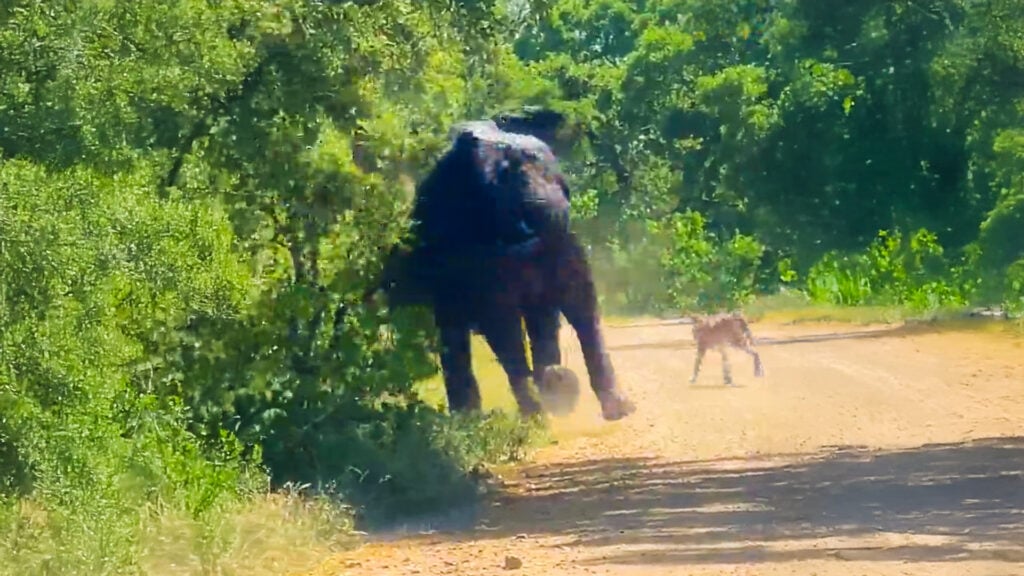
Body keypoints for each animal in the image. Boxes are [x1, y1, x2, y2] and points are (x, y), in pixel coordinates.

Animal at [363, 109, 636, 422]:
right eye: (494, 183)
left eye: (559, 180)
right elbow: (503, 323)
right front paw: (541, 410)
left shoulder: (557, 240)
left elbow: (578, 299)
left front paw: (614, 407)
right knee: (463, 331)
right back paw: (480, 416)